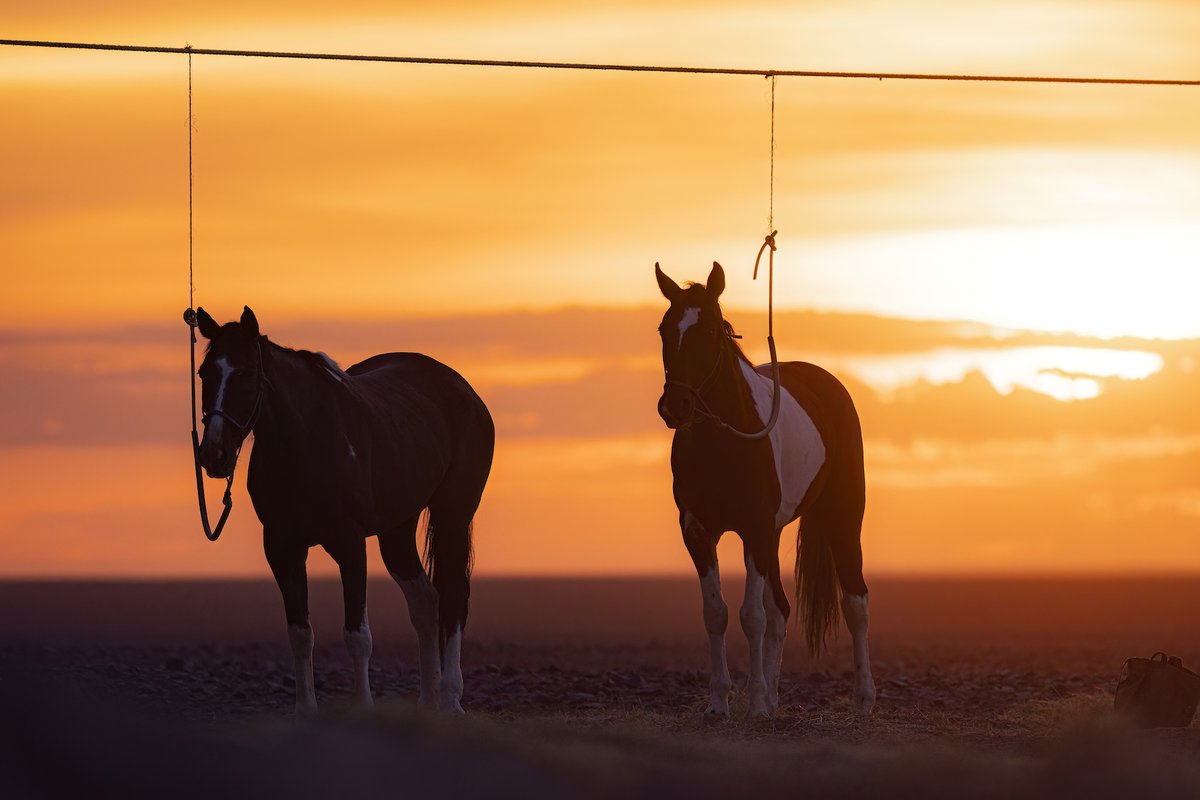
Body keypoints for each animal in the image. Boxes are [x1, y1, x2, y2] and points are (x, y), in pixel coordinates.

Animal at [194, 304, 494, 714]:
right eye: (204, 373)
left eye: (246, 372)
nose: (214, 455)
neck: (305, 441)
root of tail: (463, 390)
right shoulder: (282, 547)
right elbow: (300, 633)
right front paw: (306, 711)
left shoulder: (350, 544)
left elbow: (357, 635)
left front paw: (364, 709)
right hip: (396, 531)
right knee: (425, 602)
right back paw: (428, 702)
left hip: (453, 516)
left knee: (453, 596)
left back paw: (449, 699)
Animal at [652, 262, 878, 719]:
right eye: (665, 329)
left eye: (710, 330)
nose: (675, 407)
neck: (723, 443)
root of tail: (829, 383)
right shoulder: (699, 532)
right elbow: (717, 613)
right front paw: (720, 702)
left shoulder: (753, 529)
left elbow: (750, 616)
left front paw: (754, 702)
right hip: (774, 536)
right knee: (782, 610)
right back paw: (774, 699)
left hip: (843, 518)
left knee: (856, 601)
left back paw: (863, 698)